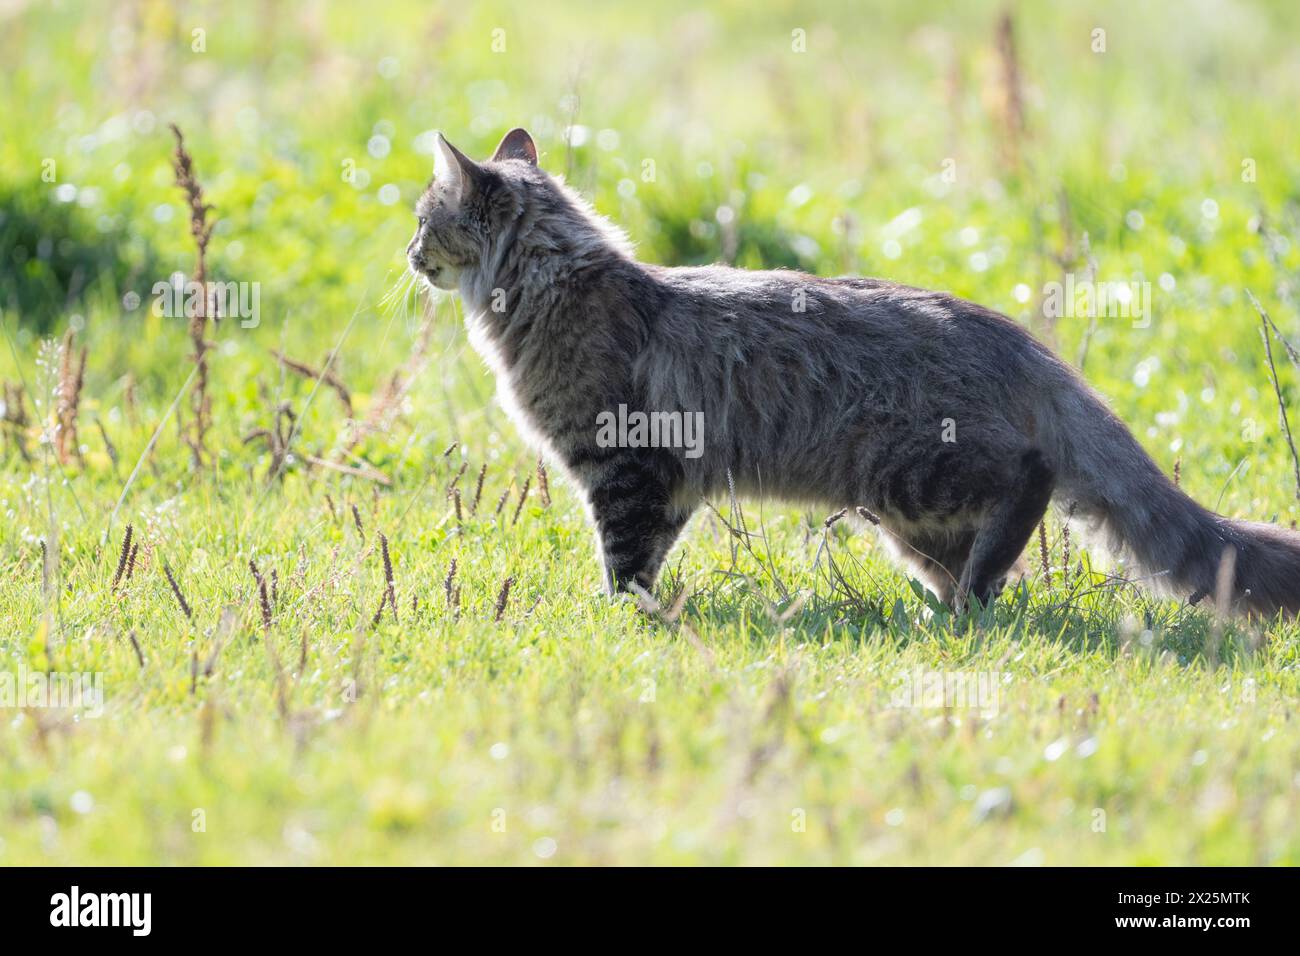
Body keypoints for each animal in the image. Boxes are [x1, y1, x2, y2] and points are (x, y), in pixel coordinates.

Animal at [410, 127, 1300, 616]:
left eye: (424, 220)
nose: (409, 254)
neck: (553, 287)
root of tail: (1006, 333)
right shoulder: (668, 484)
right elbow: (647, 560)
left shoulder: (625, 464)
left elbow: (622, 561)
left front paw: (621, 621)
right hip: (907, 515)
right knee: (978, 560)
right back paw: (960, 605)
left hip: (911, 470)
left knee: (1033, 477)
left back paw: (967, 602)